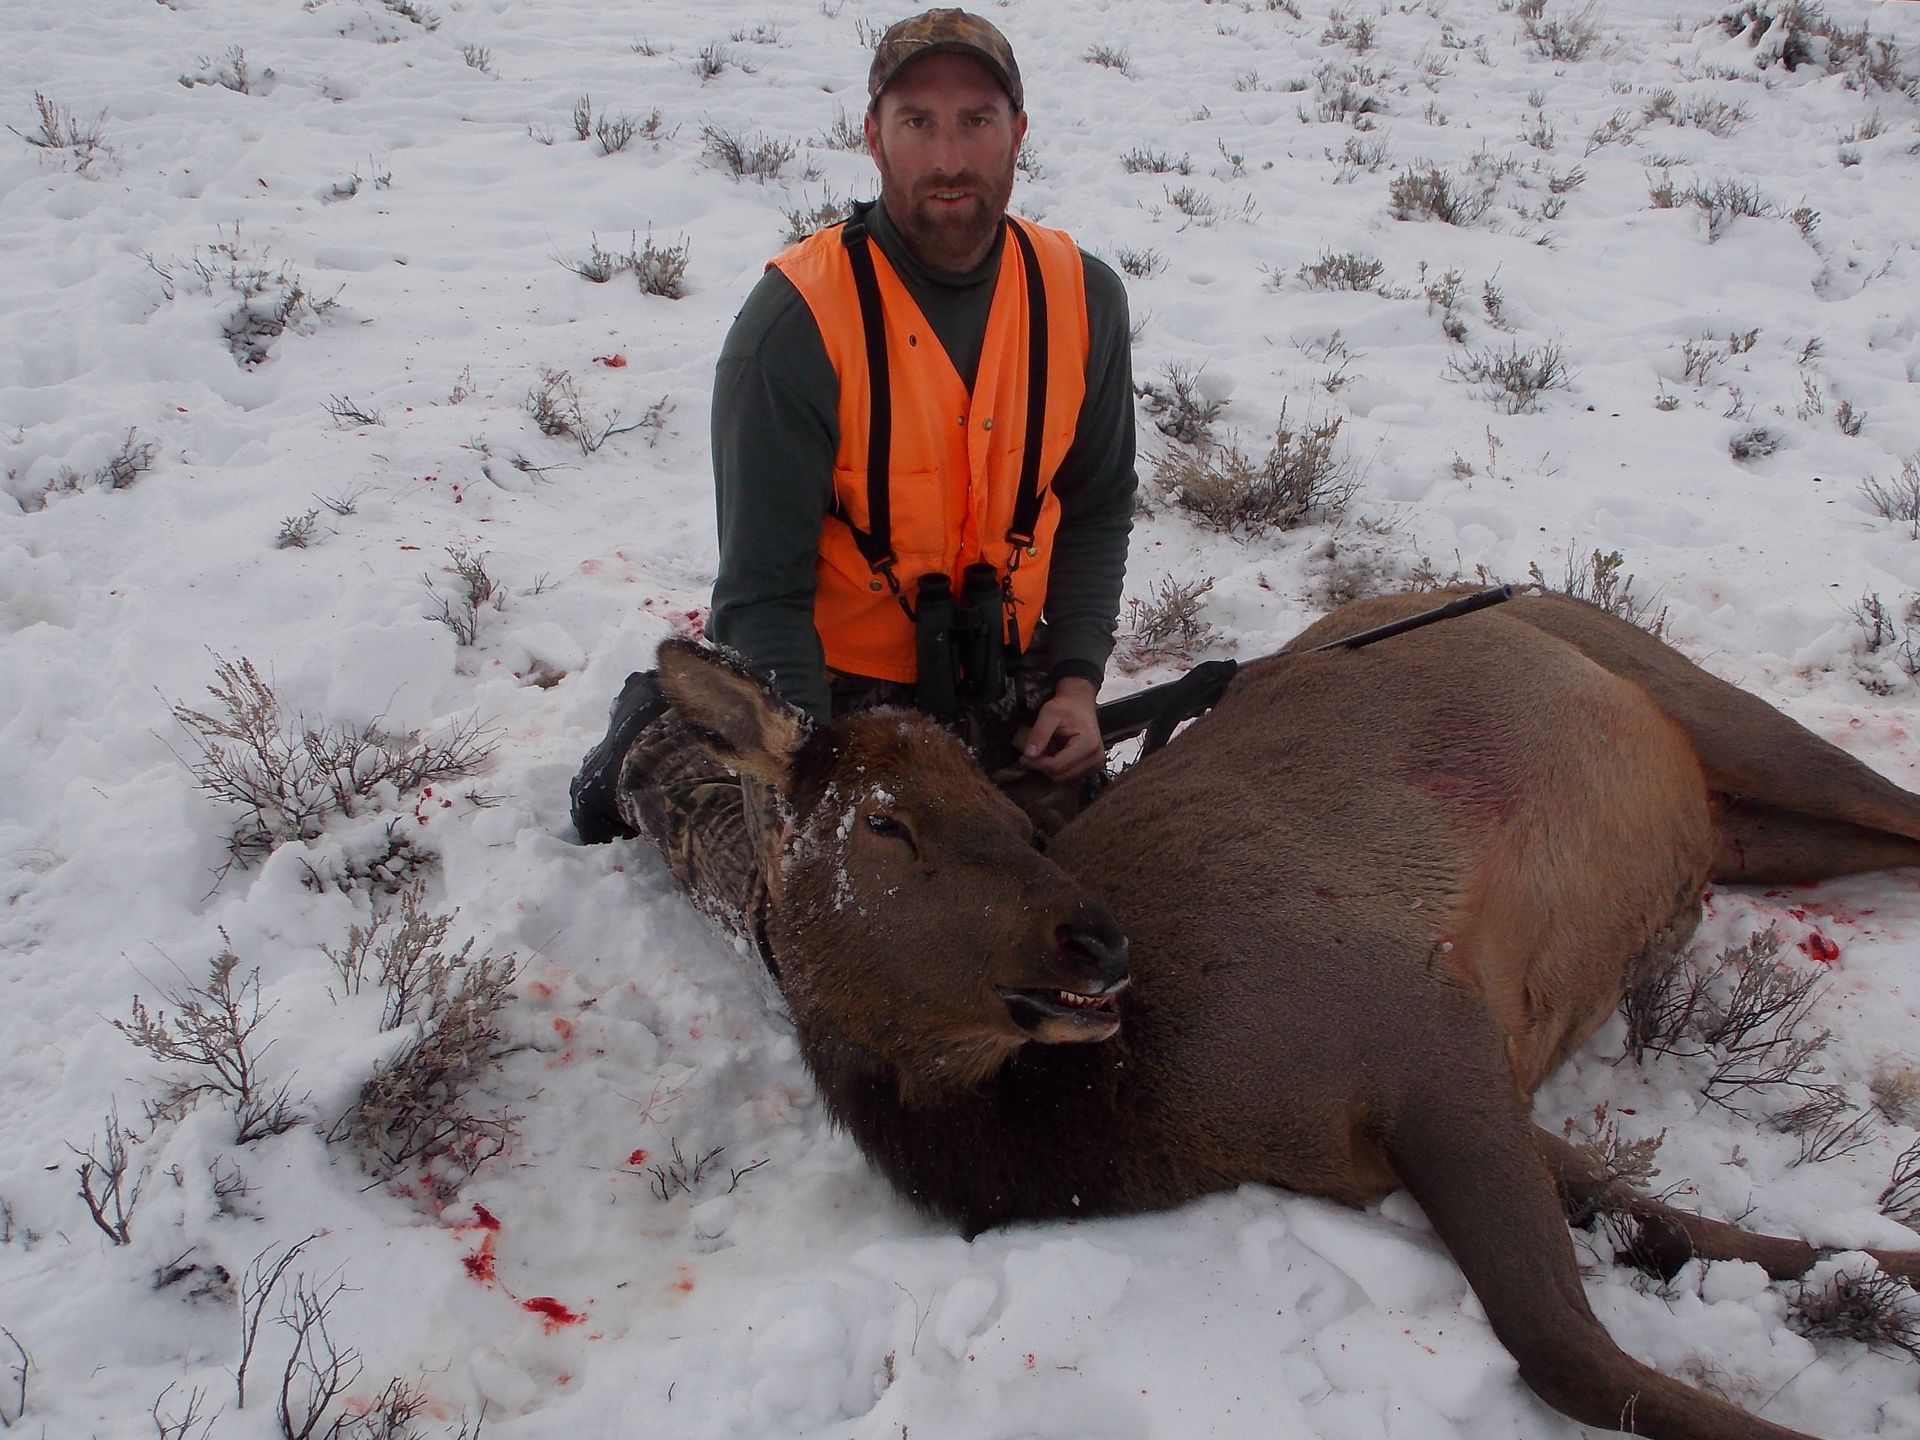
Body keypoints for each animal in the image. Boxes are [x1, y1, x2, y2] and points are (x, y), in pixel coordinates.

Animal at [649, 587, 1920, 1440]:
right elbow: (1674, 1239)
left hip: (1708, 706)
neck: (1128, 1123)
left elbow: (1571, 1344)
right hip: (1740, 829)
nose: (1099, 940)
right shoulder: (1435, 1085)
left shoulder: (1418, 1017)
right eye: (885, 823)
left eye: (1003, 812)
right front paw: (1881, 1269)